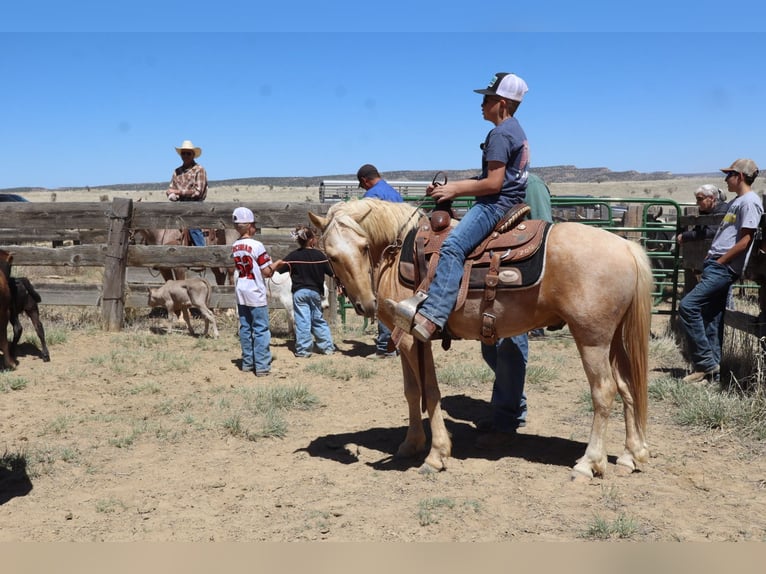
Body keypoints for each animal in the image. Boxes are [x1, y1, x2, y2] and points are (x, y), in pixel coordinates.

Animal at [308, 198, 653, 479]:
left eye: (364, 247)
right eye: (332, 257)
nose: (367, 304)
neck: (396, 255)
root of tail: (626, 248)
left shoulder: (413, 337)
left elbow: (429, 391)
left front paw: (436, 454)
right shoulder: (408, 342)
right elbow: (411, 392)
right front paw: (411, 444)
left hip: (592, 339)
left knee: (604, 391)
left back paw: (589, 463)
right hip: (614, 341)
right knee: (627, 386)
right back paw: (632, 455)